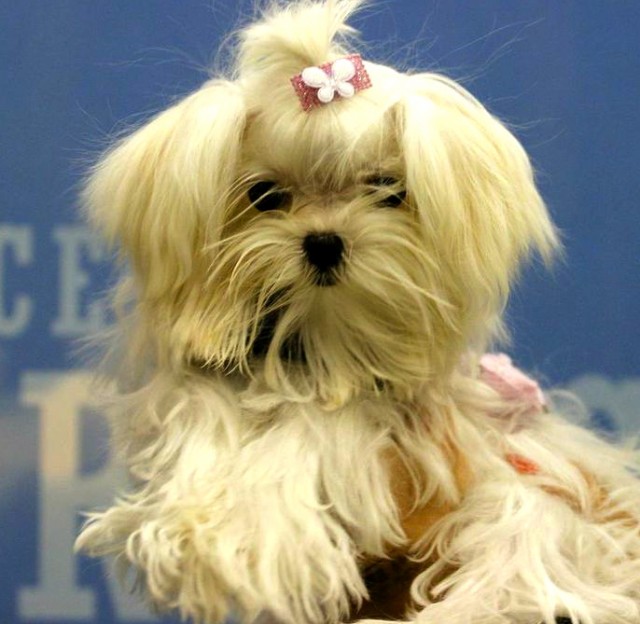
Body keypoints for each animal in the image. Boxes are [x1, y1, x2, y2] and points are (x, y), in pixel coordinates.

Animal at [75, 1, 640, 624]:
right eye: (264, 195)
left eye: (388, 189)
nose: (324, 243)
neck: (325, 347)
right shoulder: (205, 385)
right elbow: (205, 411)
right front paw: (199, 531)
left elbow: (312, 432)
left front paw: (243, 538)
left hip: (536, 507)